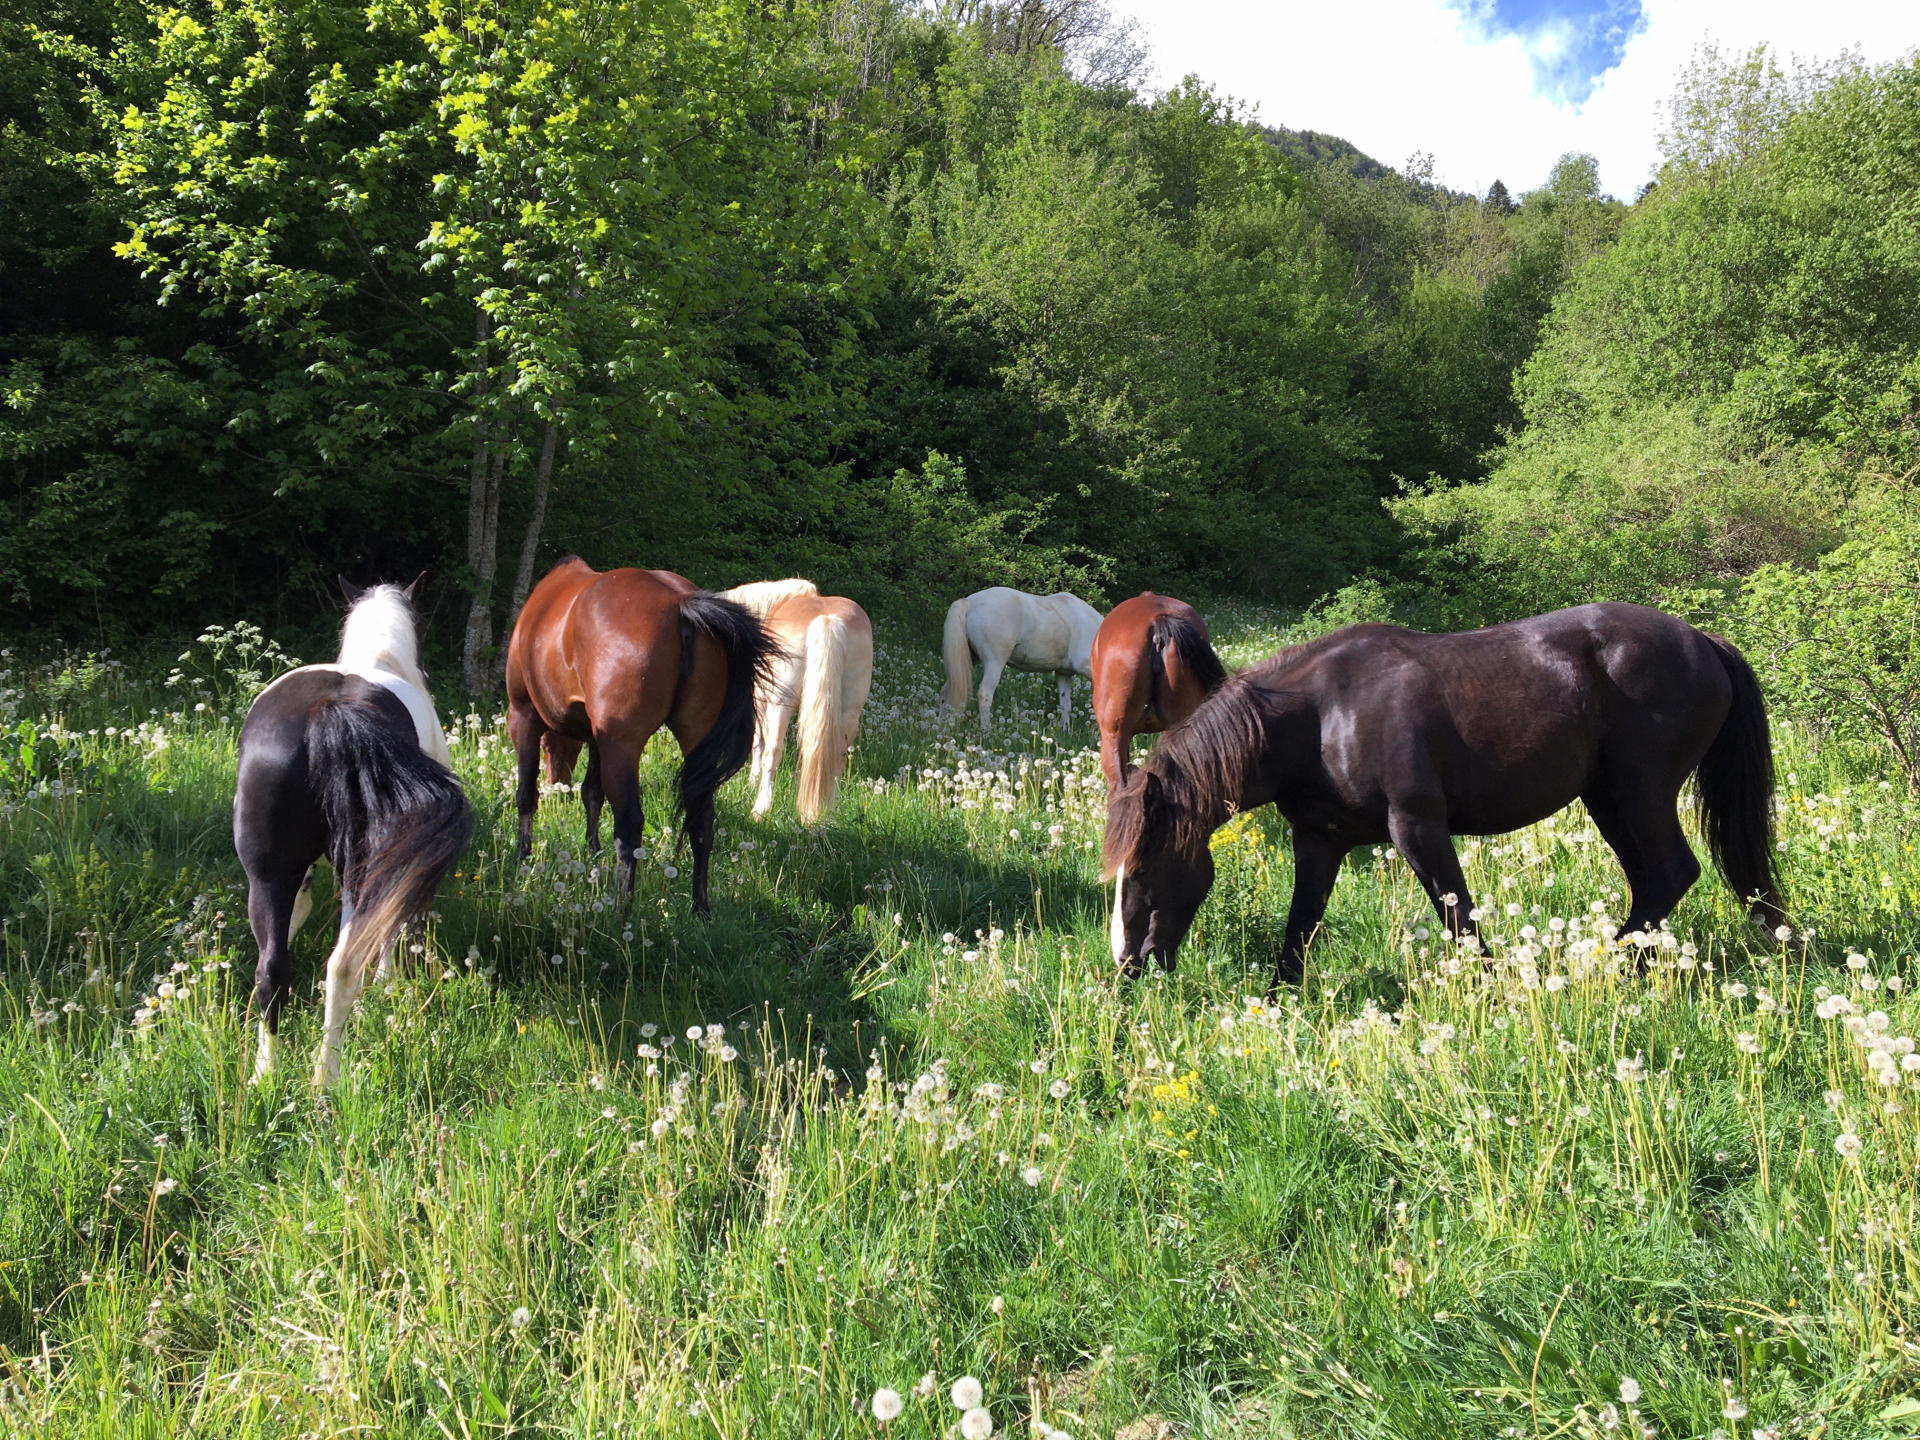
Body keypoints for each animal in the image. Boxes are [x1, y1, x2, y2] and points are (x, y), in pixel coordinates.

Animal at [234, 576, 472, 1087]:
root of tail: (331, 710)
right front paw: (388, 984)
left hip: (268, 875)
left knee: (271, 970)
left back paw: (266, 1073)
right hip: (365, 867)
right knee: (343, 965)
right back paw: (325, 1079)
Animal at [504, 556, 780, 912]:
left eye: (551, 747)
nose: (558, 784)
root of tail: (679, 603)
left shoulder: (522, 715)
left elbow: (526, 794)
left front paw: (522, 855)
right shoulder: (598, 740)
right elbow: (592, 793)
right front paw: (593, 850)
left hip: (622, 745)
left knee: (630, 824)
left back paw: (622, 908)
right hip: (691, 740)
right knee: (702, 822)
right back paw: (700, 908)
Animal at [718, 578, 874, 823]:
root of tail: (826, 620)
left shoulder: (761, 702)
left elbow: (758, 743)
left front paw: (751, 782)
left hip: (780, 705)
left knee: (773, 751)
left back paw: (760, 809)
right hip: (849, 712)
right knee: (837, 758)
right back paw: (827, 811)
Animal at [941, 587, 1103, 732]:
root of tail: (969, 602)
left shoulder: (1063, 673)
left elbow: (1065, 705)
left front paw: (1066, 732)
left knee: (947, 691)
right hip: (994, 663)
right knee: (984, 695)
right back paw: (987, 733)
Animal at [1103, 602, 1786, 991]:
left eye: (1143, 868)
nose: (1129, 966)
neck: (1322, 715)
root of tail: (1704, 642)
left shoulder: (1418, 827)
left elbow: (1459, 919)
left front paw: (1493, 993)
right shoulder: (1320, 840)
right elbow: (1300, 925)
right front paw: (1276, 1005)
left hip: (1638, 795)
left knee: (1672, 871)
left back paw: (1607, 968)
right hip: (1609, 803)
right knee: (1654, 880)